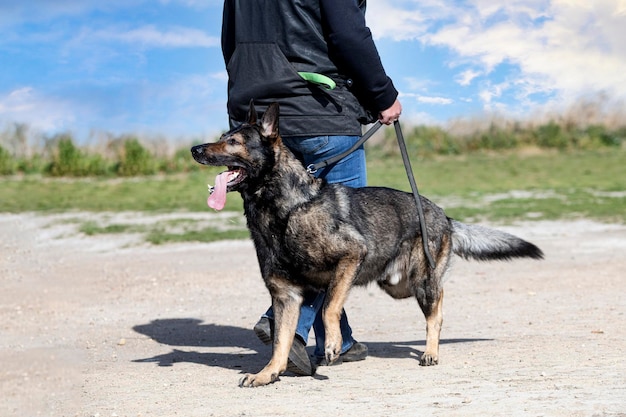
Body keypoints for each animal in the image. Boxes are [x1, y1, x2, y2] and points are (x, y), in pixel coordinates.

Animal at [191, 101, 540, 386]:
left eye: (233, 142)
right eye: (223, 136)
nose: (195, 149)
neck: (287, 208)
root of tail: (444, 215)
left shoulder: (350, 257)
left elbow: (330, 306)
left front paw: (332, 344)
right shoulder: (286, 296)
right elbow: (280, 341)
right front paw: (268, 373)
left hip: (420, 279)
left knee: (436, 308)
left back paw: (430, 351)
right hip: (397, 285)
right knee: (437, 299)